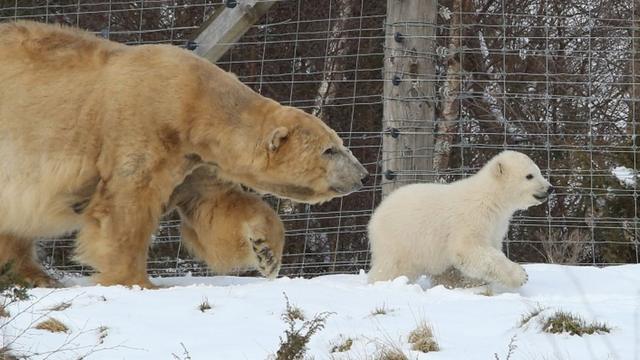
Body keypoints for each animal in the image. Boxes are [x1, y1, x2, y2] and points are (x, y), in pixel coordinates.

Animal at [0, 21, 368, 286]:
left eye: (339, 143)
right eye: (330, 149)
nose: (363, 175)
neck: (192, 103)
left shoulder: (193, 159)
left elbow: (216, 207)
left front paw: (267, 253)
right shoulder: (142, 127)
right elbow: (126, 205)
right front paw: (136, 282)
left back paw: (34, 275)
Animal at [368, 150, 552, 288]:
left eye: (539, 171)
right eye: (529, 176)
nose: (550, 188)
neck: (491, 198)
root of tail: (375, 215)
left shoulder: (496, 225)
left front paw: (475, 282)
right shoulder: (472, 218)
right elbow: (469, 249)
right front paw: (521, 275)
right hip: (402, 240)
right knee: (392, 268)